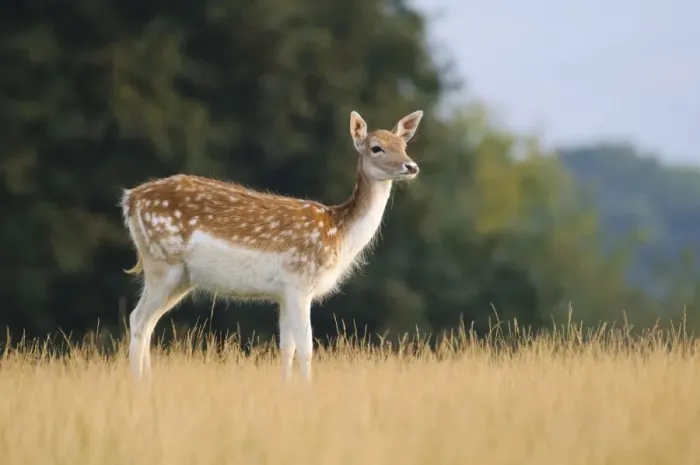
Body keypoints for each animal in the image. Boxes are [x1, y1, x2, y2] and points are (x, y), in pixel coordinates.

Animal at [120, 110, 423, 382]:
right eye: (376, 148)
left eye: (404, 145)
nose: (411, 166)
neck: (337, 233)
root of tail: (130, 200)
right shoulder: (299, 281)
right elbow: (306, 347)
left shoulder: (283, 292)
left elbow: (286, 347)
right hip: (161, 264)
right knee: (138, 319)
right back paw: (139, 386)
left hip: (180, 278)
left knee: (149, 323)